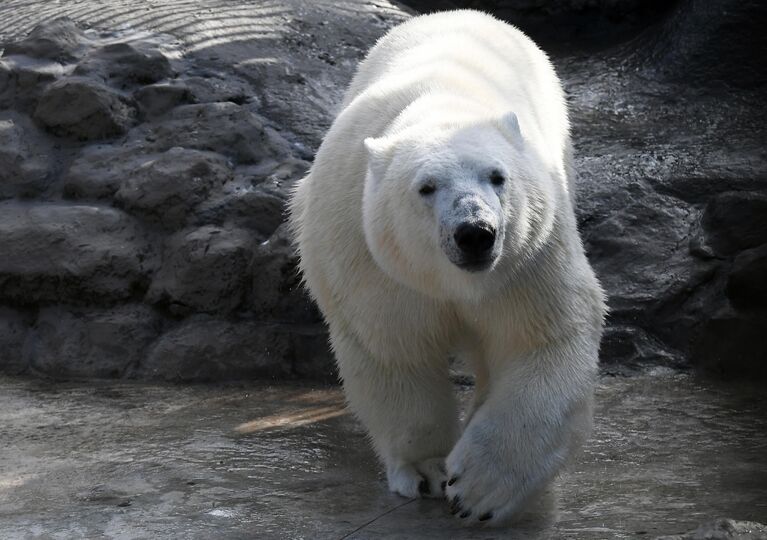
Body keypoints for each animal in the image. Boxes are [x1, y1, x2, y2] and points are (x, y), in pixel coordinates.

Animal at [288, 9, 608, 524]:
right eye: (426, 187)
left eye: (497, 176)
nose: (475, 233)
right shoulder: (373, 259)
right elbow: (395, 348)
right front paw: (428, 470)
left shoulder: (528, 255)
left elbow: (540, 337)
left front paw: (480, 488)